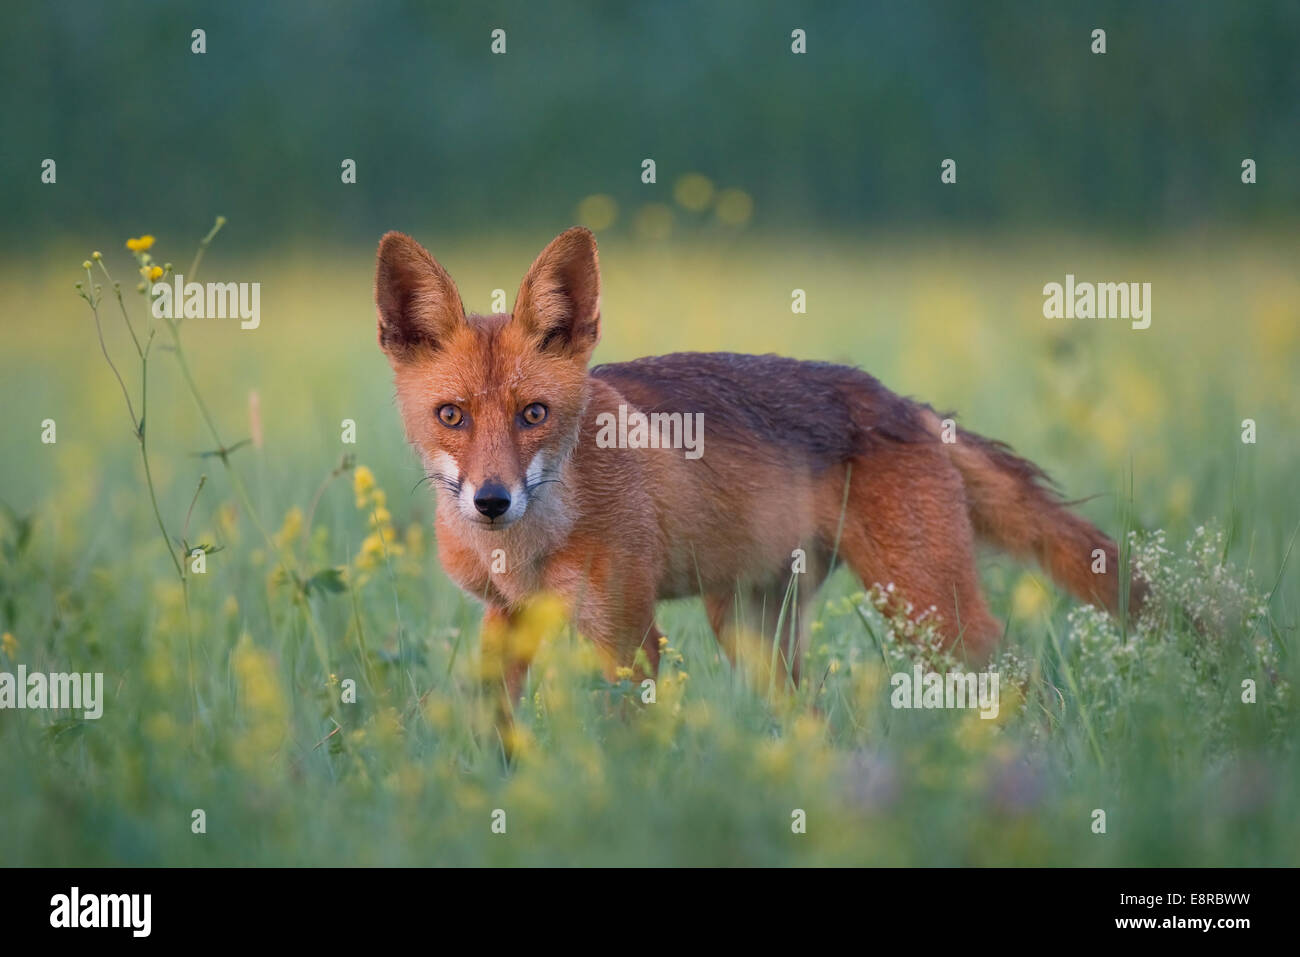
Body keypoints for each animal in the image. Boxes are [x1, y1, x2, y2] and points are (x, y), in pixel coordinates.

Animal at [371, 223, 1144, 696]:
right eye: (451, 416)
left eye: (533, 414)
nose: (491, 501)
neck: (527, 549)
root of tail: (899, 399)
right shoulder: (503, 621)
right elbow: (493, 735)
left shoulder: (626, 633)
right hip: (748, 626)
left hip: (927, 611)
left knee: (1023, 681)